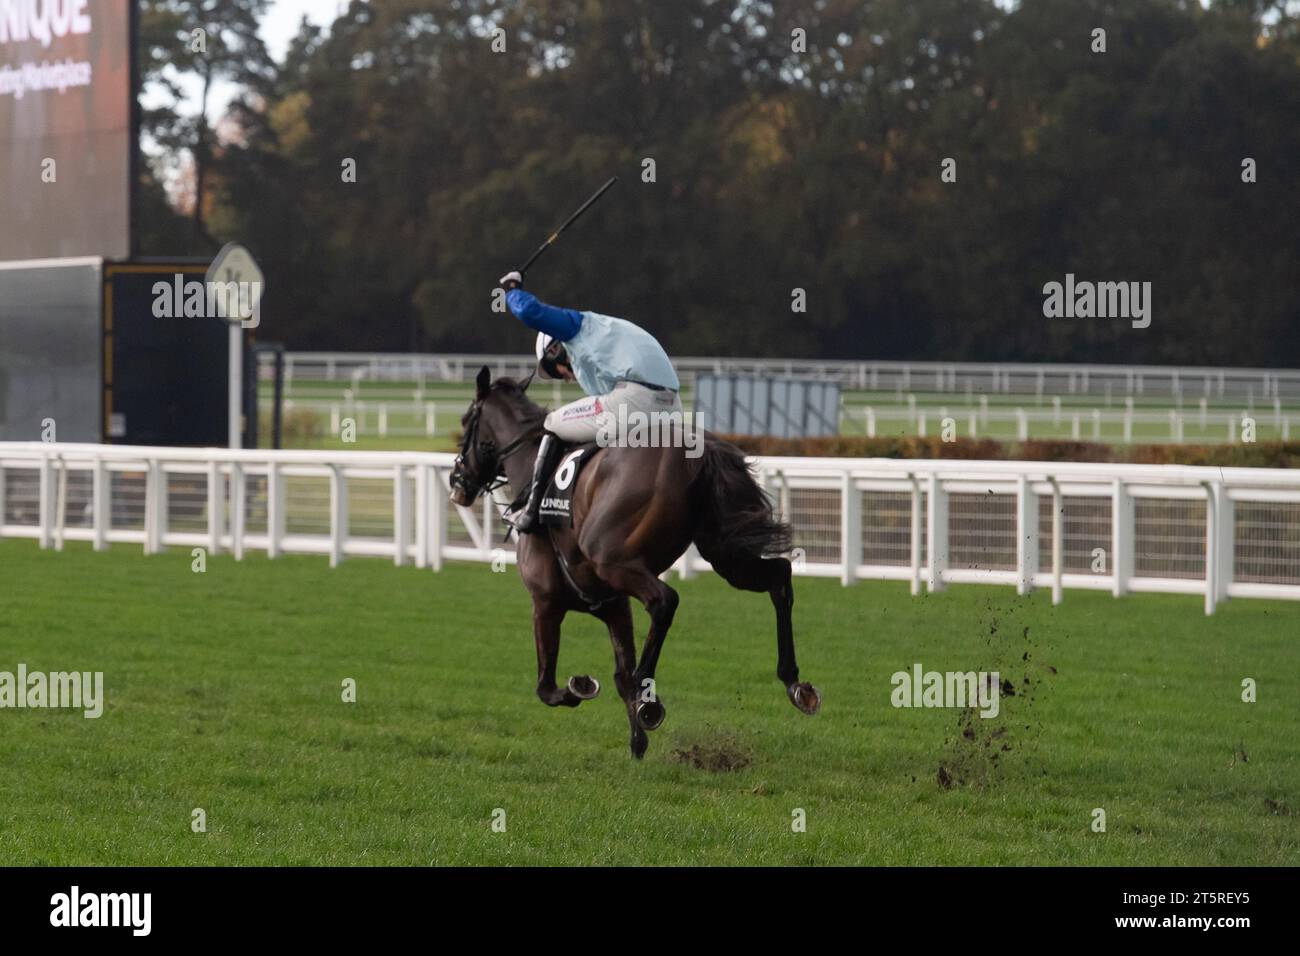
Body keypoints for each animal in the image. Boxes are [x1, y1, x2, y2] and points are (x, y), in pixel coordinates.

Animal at [447, 369, 811, 759]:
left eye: (466, 421)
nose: (457, 483)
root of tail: (698, 450)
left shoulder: (545, 602)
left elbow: (546, 686)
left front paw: (583, 686)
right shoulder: (614, 605)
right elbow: (619, 674)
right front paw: (637, 742)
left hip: (615, 561)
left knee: (665, 601)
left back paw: (647, 695)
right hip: (724, 554)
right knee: (779, 576)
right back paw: (794, 682)